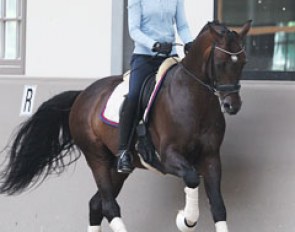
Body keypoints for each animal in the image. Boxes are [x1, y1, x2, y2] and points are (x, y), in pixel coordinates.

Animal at [0, 20, 252, 232]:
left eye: (244, 63)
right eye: (220, 63)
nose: (232, 105)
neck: (194, 100)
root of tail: (82, 95)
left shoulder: (211, 158)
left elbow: (218, 207)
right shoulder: (169, 157)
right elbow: (191, 178)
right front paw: (185, 218)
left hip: (117, 168)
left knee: (96, 204)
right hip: (97, 158)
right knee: (109, 206)